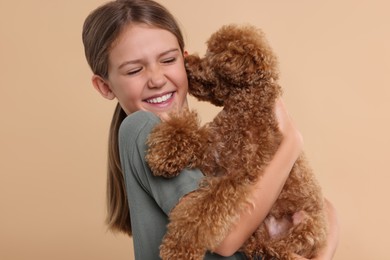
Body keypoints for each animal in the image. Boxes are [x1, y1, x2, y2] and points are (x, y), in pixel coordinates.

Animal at [145, 24, 328, 260]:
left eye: (212, 55)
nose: (186, 59)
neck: (242, 110)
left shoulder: (239, 177)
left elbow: (203, 210)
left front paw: (179, 248)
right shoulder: (213, 152)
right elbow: (189, 133)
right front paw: (165, 154)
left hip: (309, 226)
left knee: (288, 246)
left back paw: (273, 251)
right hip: (259, 228)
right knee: (256, 244)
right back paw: (260, 249)